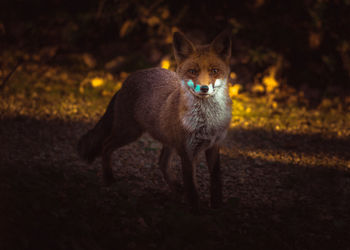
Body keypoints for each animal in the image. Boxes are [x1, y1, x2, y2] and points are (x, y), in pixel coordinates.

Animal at [78, 30, 232, 212]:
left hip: (166, 139)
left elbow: (216, 180)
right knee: (105, 145)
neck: (207, 121)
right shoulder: (187, 151)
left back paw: (175, 189)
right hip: (130, 132)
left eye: (214, 70)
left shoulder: (214, 146)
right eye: (193, 71)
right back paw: (109, 179)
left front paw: (217, 205)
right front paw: (196, 210)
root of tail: (127, 80)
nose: (204, 88)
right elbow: (192, 188)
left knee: (162, 163)